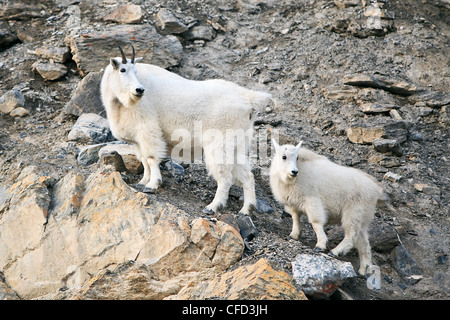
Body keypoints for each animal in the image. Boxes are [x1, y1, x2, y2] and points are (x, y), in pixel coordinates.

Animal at [100, 44, 272, 215]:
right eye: (123, 70)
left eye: (135, 71)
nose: (139, 90)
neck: (119, 103)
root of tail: (248, 99)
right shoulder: (137, 140)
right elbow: (143, 159)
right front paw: (142, 181)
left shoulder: (147, 129)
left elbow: (151, 158)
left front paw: (152, 184)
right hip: (238, 143)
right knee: (247, 175)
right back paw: (246, 209)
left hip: (219, 142)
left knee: (224, 176)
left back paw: (213, 206)